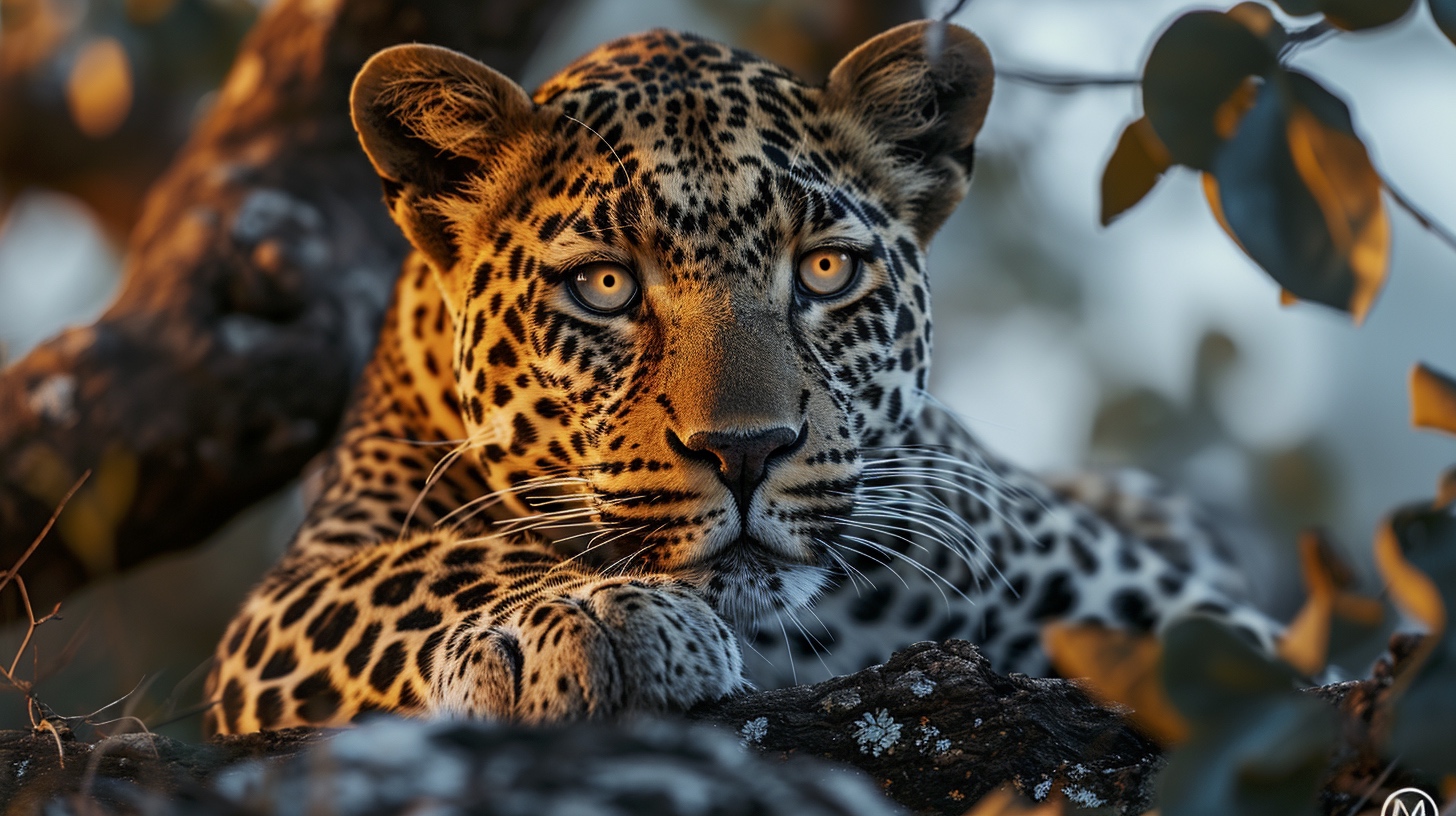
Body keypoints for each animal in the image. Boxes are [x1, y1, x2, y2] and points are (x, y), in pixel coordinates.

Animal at [204, 20, 1281, 735]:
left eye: (825, 270)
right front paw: (588, 619)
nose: (746, 452)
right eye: (604, 285)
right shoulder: (297, 586)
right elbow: (434, 560)